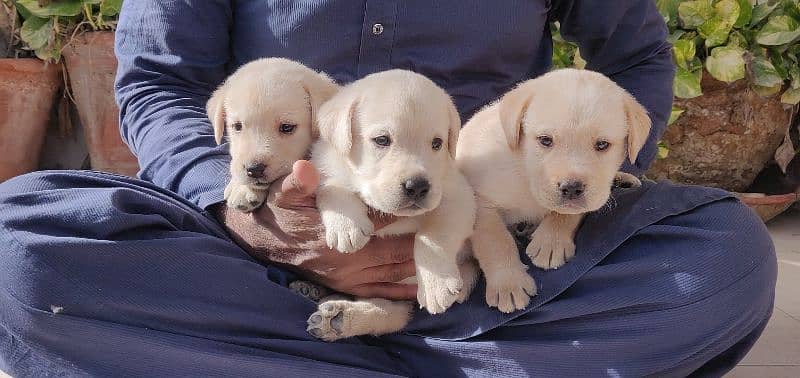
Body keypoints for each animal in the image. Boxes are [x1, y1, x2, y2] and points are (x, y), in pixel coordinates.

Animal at [306, 69, 478, 342]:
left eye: (437, 143)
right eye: (382, 140)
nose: (417, 186)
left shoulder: (459, 197)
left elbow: (432, 238)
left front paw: (436, 284)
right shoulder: (323, 167)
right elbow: (332, 188)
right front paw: (346, 226)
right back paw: (339, 318)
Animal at [456, 68, 648, 314]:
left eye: (602, 145)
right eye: (545, 140)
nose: (572, 188)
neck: (526, 173)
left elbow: (566, 214)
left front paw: (551, 242)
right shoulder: (481, 201)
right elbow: (495, 241)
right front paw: (508, 283)